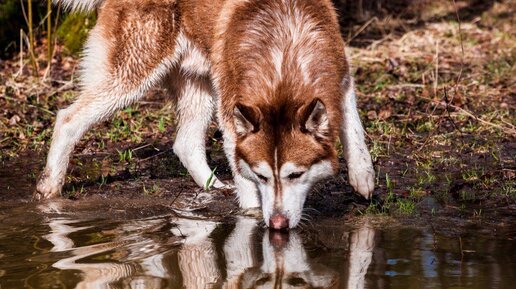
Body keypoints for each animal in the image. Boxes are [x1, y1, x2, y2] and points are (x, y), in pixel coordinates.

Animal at [36, 0, 374, 228]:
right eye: (263, 176)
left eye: (296, 175)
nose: (277, 224)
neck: (283, 50)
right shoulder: (231, 114)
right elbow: (244, 177)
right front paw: (252, 214)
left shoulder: (342, 80)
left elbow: (355, 135)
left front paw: (364, 179)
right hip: (131, 81)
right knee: (66, 119)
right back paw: (49, 188)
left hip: (200, 88)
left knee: (184, 143)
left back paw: (214, 187)